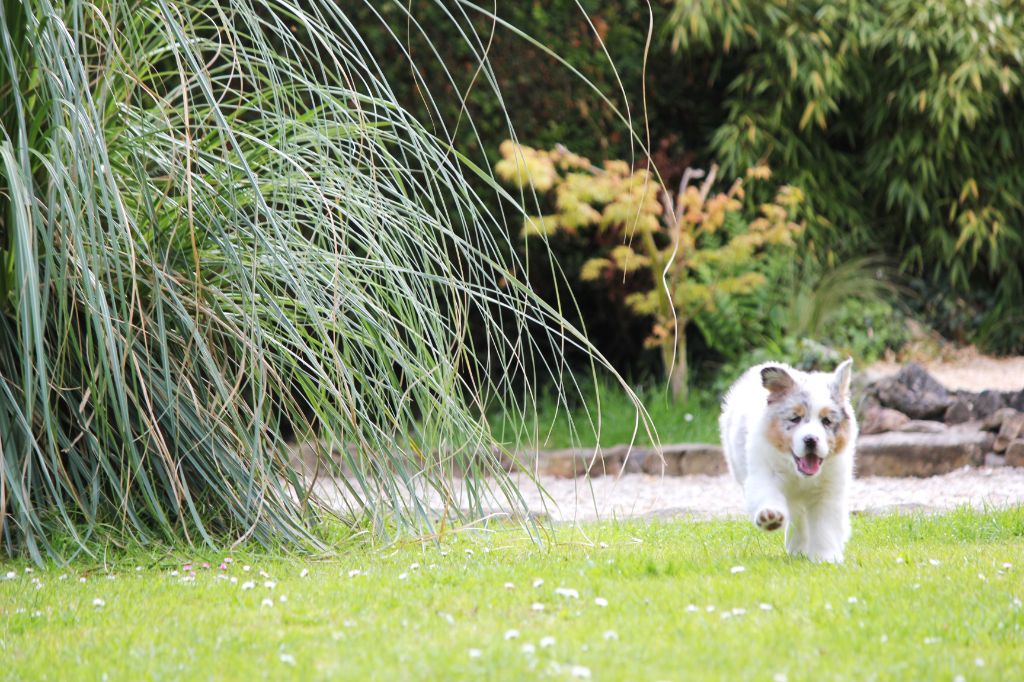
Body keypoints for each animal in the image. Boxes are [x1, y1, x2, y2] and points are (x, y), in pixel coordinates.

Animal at [720, 358, 856, 561]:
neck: (798, 474)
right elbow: (767, 494)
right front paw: (770, 516)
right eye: (795, 418)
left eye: (826, 421)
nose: (810, 440)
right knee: (797, 515)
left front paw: (826, 557)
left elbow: (825, 525)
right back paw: (796, 547)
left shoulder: (829, 490)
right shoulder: (763, 472)